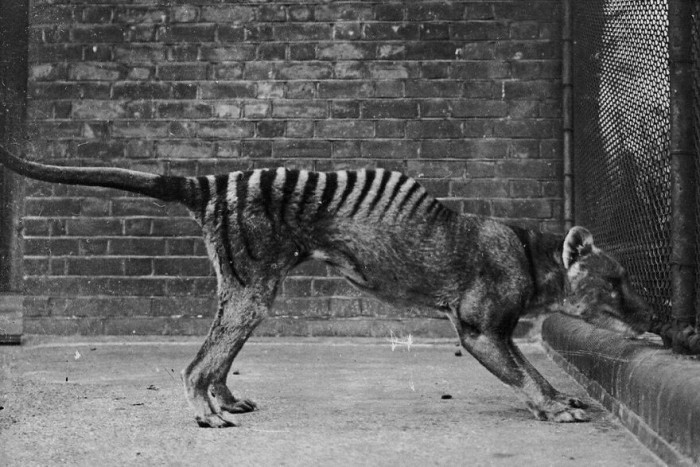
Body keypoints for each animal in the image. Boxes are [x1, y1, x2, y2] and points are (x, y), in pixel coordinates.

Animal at [0, 146, 651, 427]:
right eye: (615, 282)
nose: (652, 321)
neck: (530, 254)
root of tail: (210, 183)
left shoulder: (502, 331)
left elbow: (534, 367)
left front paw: (560, 397)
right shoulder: (478, 330)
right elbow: (524, 374)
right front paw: (552, 406)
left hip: (249, 294)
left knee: (216, 358)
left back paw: (225, 399)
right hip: (251, 293)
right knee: (193, 366)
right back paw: (206, 414)